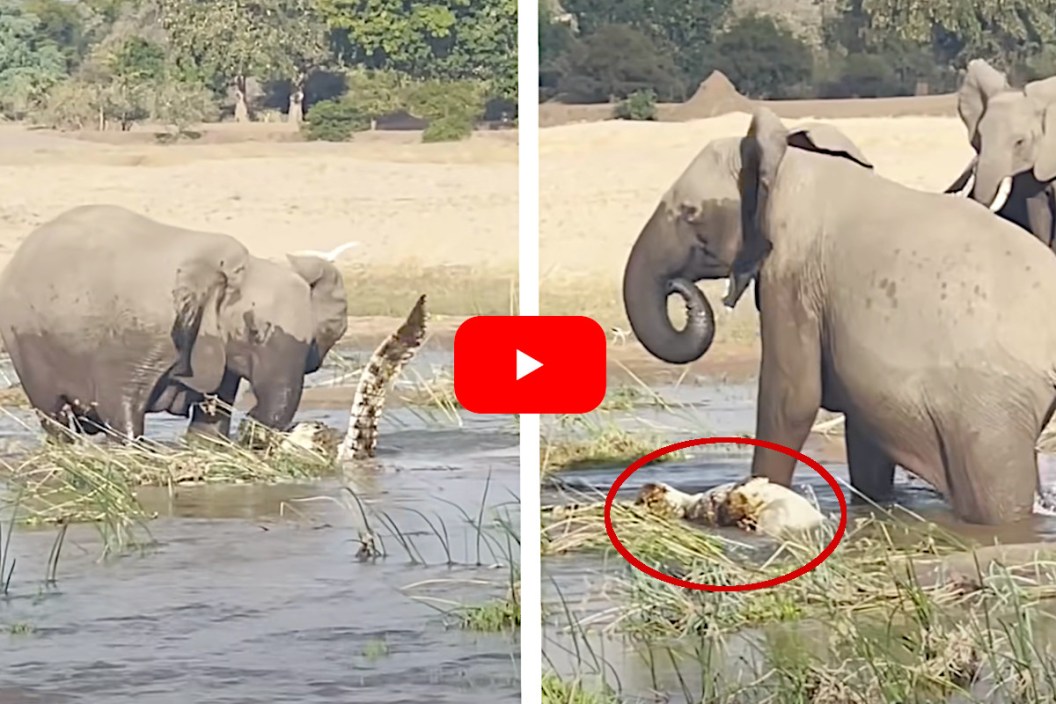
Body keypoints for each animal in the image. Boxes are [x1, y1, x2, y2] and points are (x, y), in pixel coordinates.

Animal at [0, 204, 350, 441]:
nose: (250, 423)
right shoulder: (140, 335)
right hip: (23, 342)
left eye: (313, 343)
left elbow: (211, 420)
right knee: (54, 417)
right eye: (253, 331)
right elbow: (120, 408)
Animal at [622, 107, 1056, 525]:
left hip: (989, 414)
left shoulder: (792, 278)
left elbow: (792, 398)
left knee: (996, 499)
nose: (679, 287)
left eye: (689, 213)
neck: (789, 166)